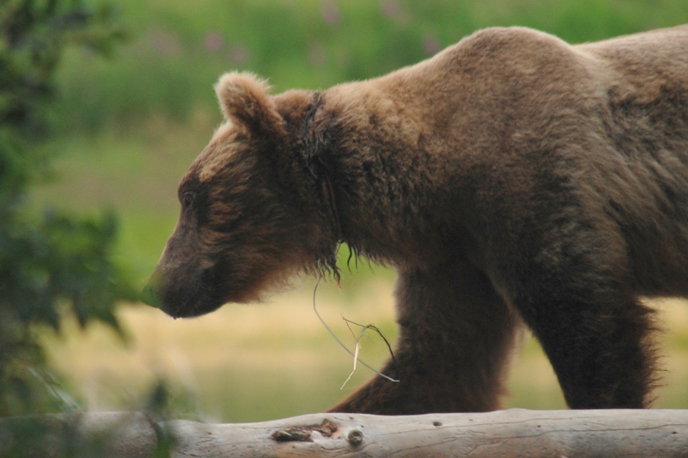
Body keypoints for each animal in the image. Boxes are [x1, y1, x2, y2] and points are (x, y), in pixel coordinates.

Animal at [144, 24, 688, 412]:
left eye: (191, 196)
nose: (156, 286)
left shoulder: (535, 187)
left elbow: (591, 331)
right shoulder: (456, 255)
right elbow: (440, 363)